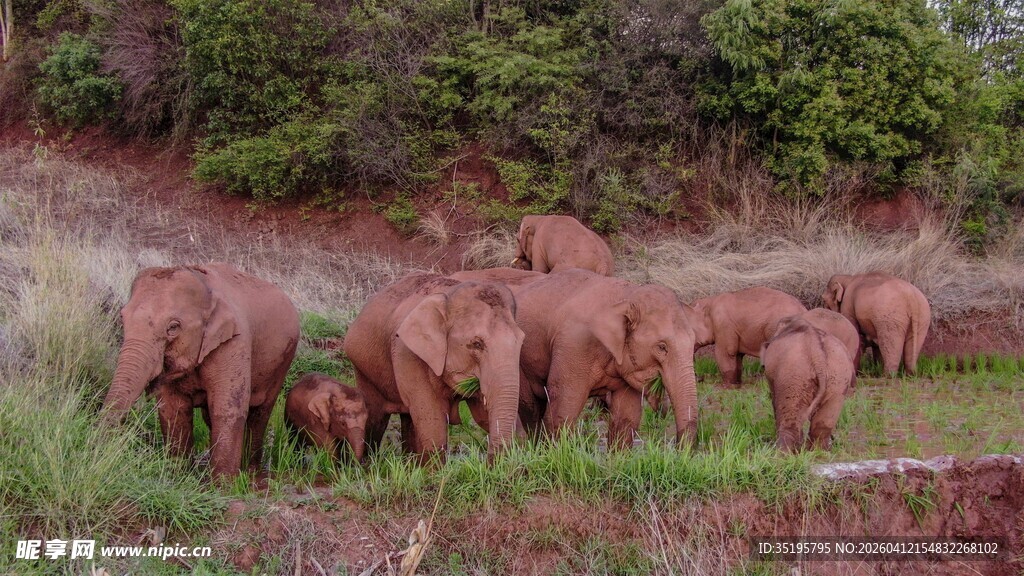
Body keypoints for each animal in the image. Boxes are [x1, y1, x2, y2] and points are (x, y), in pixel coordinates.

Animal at [101, 263, 300, 478]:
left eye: (173, 327)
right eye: (122, 318)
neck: (207, 291)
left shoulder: (234, 342)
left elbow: (228, 407)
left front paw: (223, 483)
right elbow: (173, 409)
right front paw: (178, 475)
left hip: (283, 361)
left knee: (260, 413)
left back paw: (251, 472)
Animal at [343, 273, 525, 462]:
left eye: (521, 341)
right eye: (477, 344)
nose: (489, 463)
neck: (449, 295)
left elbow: (482, 416)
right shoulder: (408, 353)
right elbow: (433, 425)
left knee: (409, 419)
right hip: (364, 370)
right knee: (376, 420)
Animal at [512, 269, 700, 447]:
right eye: (661, 347)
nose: (678, 449)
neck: (627, 295)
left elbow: (626, 415)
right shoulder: (574, 345)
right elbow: (563, 409)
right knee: (532, 408)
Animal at [760, 316, 854, 452]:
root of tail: (817, 352)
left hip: (794, 374)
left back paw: (781, 452)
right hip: (839, 376)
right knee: (824, 422)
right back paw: (818, 452)